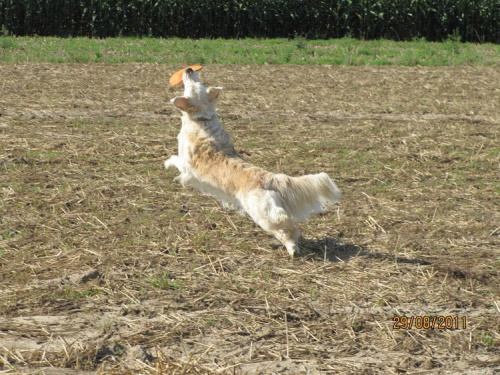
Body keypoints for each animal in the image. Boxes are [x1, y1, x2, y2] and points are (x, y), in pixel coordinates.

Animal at [166, 67, 342, 258]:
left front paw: (168, 165)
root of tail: (269, 178)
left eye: (192, 85)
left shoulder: (187, 168)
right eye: (198, 82)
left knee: (286, 228)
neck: (202, 120)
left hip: (262, 214)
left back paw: (292, 249)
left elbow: (174, 160)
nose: (189, 69)